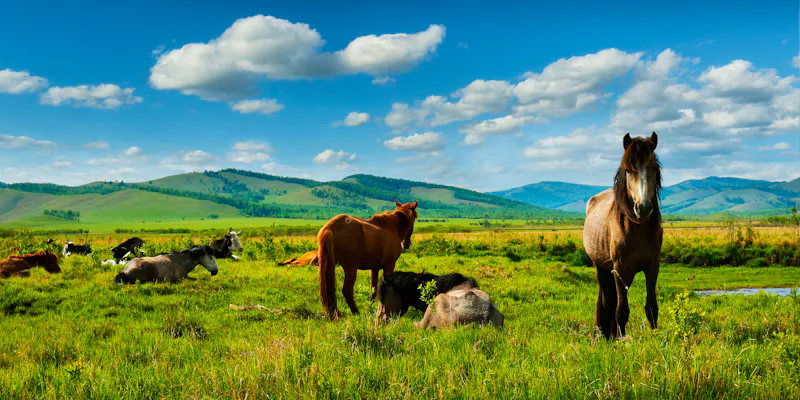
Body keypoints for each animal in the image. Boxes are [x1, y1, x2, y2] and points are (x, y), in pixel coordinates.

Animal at [584, 132, 663, 340]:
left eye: (653, 168)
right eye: (628, 170)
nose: (643, 207)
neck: (637, 230)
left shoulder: (653, 266)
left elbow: (651, 307)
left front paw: (655, 339)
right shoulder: (618, 269)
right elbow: (621, 309)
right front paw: (621, 340)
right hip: (602, 268)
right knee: (608, 301)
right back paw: (605, 334)